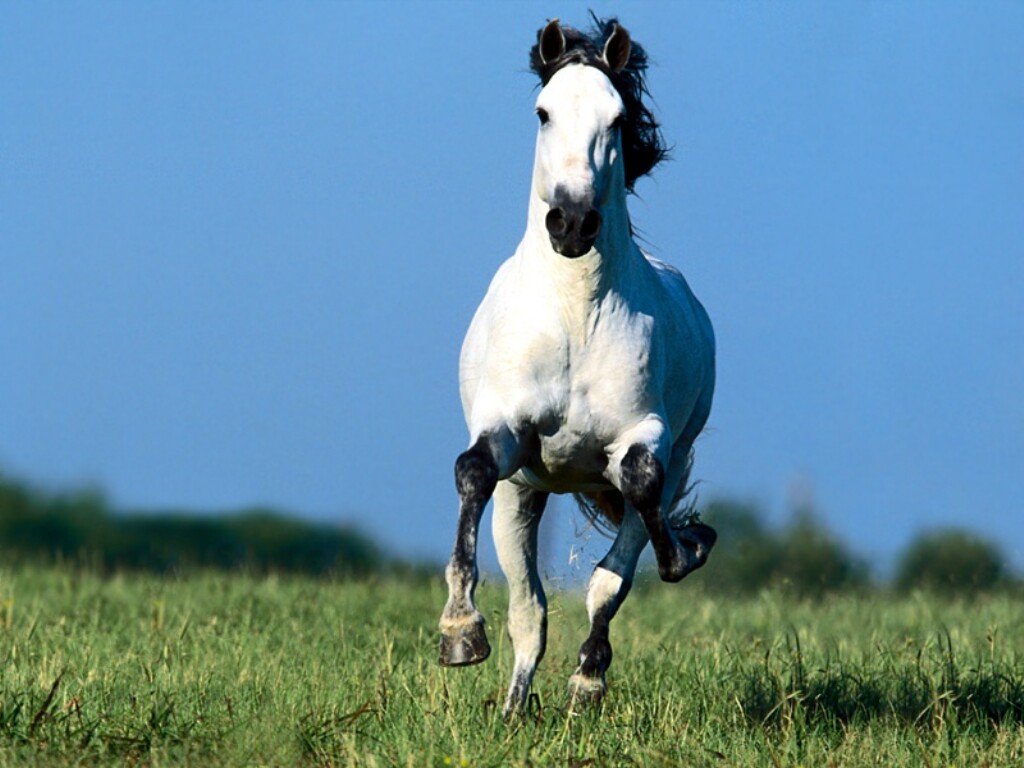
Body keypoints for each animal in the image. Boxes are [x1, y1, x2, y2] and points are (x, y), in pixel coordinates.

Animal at [436, 15, 716, 720]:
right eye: (543, 112)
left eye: (616, 118)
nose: (571, 221)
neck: (575, 314)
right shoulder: (506, 432)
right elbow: (471, 470)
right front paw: (458, 632)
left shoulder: (646, 439)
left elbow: (638, 503)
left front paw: (688, 550)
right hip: (523, 495)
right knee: (528, 609)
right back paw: (512, 708)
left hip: (668, 457)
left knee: (610, 572)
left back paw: (585, 682)